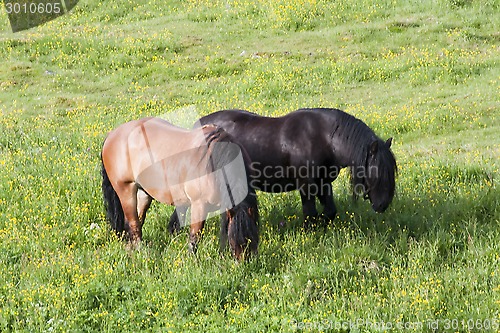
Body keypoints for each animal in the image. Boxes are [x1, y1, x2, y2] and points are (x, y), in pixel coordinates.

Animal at [100, 117, 260, 260]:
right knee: (132, 223)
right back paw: (141, 252)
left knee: (137, 222)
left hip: (143, 192)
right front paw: (192, 260)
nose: (243, 262)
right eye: (238, 236)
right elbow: (195, 236)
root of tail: (112, 135)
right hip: (126, 190)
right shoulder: (199, 205)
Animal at [170, 107, 396, 230]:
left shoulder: (323, 184)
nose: (383, 205)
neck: (322, 137)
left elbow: (330, 211)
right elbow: (310, 213)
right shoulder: (307, 186)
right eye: (377, 173)